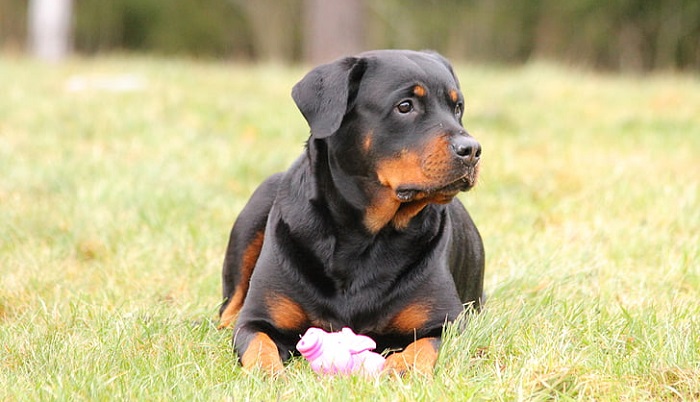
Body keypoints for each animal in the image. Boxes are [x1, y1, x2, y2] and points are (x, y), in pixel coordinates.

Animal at [221, 50, 484, 376]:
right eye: (405, 106)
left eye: (457, 108)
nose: (472, 150)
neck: (363, 235)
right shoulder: (257, 320)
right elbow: (259, 345)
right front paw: (269, 374)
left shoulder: (446, 323)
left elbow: (423, 347)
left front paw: (400, 367)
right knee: (228, 309)